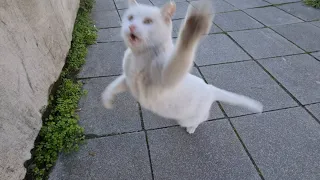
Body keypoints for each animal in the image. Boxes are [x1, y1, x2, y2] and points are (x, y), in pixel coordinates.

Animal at [102, 0, 262, 134]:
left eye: (148, 21)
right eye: (130, 17)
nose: (131, 26)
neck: (139, 56)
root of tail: (209, 88)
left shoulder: (167, 78)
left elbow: (182, 52)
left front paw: (194, 25)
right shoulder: (127, 80)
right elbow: (113, 85)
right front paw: (107, 98)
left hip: (192, 116)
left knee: (202, 118)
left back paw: (191, 128)